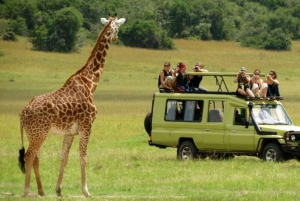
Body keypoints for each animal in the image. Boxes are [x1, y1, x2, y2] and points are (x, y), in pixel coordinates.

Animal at [17, 14, 125, 198]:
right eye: (117, 27)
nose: (117, 37)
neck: (91, 83)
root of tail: (24, 112)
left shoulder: (70, 132)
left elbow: (64, 157)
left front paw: (58, 190)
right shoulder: (86, 126)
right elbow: (83, 157)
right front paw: (86, 191)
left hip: (34, 133)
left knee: (35, 157)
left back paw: (41, 191)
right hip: (40, 133)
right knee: (29, 155)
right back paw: (26, 191)